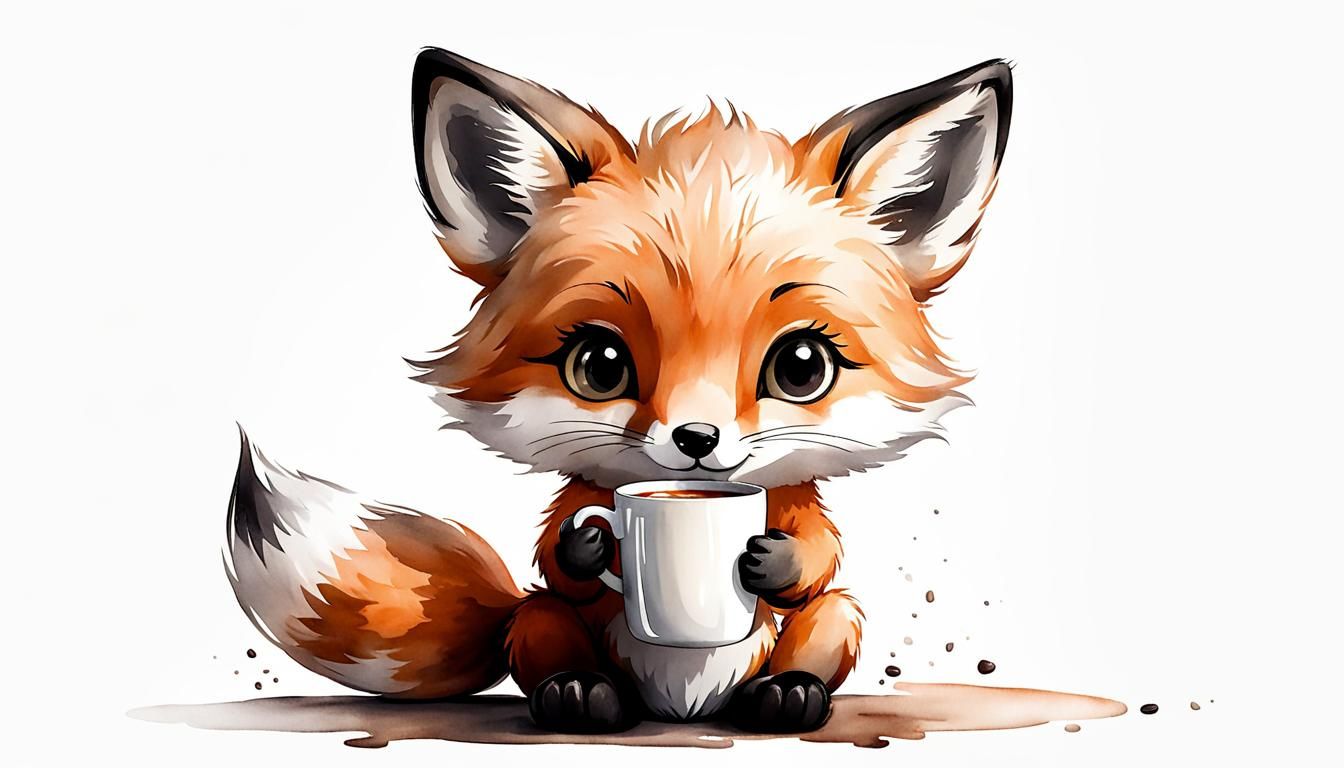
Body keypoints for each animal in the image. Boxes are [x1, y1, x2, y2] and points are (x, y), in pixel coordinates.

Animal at [225, 47, 1012, 734]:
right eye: (600, 366)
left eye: (800, 367)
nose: (696, 440)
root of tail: (684, 710)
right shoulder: (578, 508)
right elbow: (558, 557)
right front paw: (587, 546)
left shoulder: (796, 505)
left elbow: (816, 555)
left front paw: (776, 560)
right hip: (536, 621)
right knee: (546, 629)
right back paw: (579, 695)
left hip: (837, 621)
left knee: (825, 623)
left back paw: (787, 695)